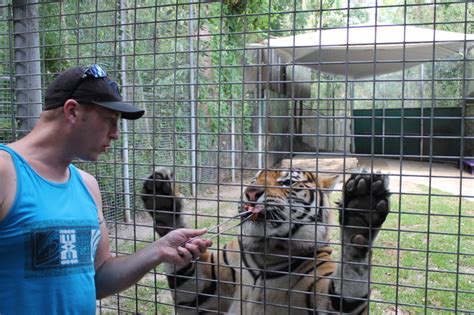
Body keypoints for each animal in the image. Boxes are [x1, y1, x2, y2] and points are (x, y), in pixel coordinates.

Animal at [142, 167, 392, 314]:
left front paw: (361, 211)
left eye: (287, 183)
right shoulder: (201, 297)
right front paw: (162, 200)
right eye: (254, 179)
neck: (268, 251)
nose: (250, 192)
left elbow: (351, 273)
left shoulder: (325, 297)